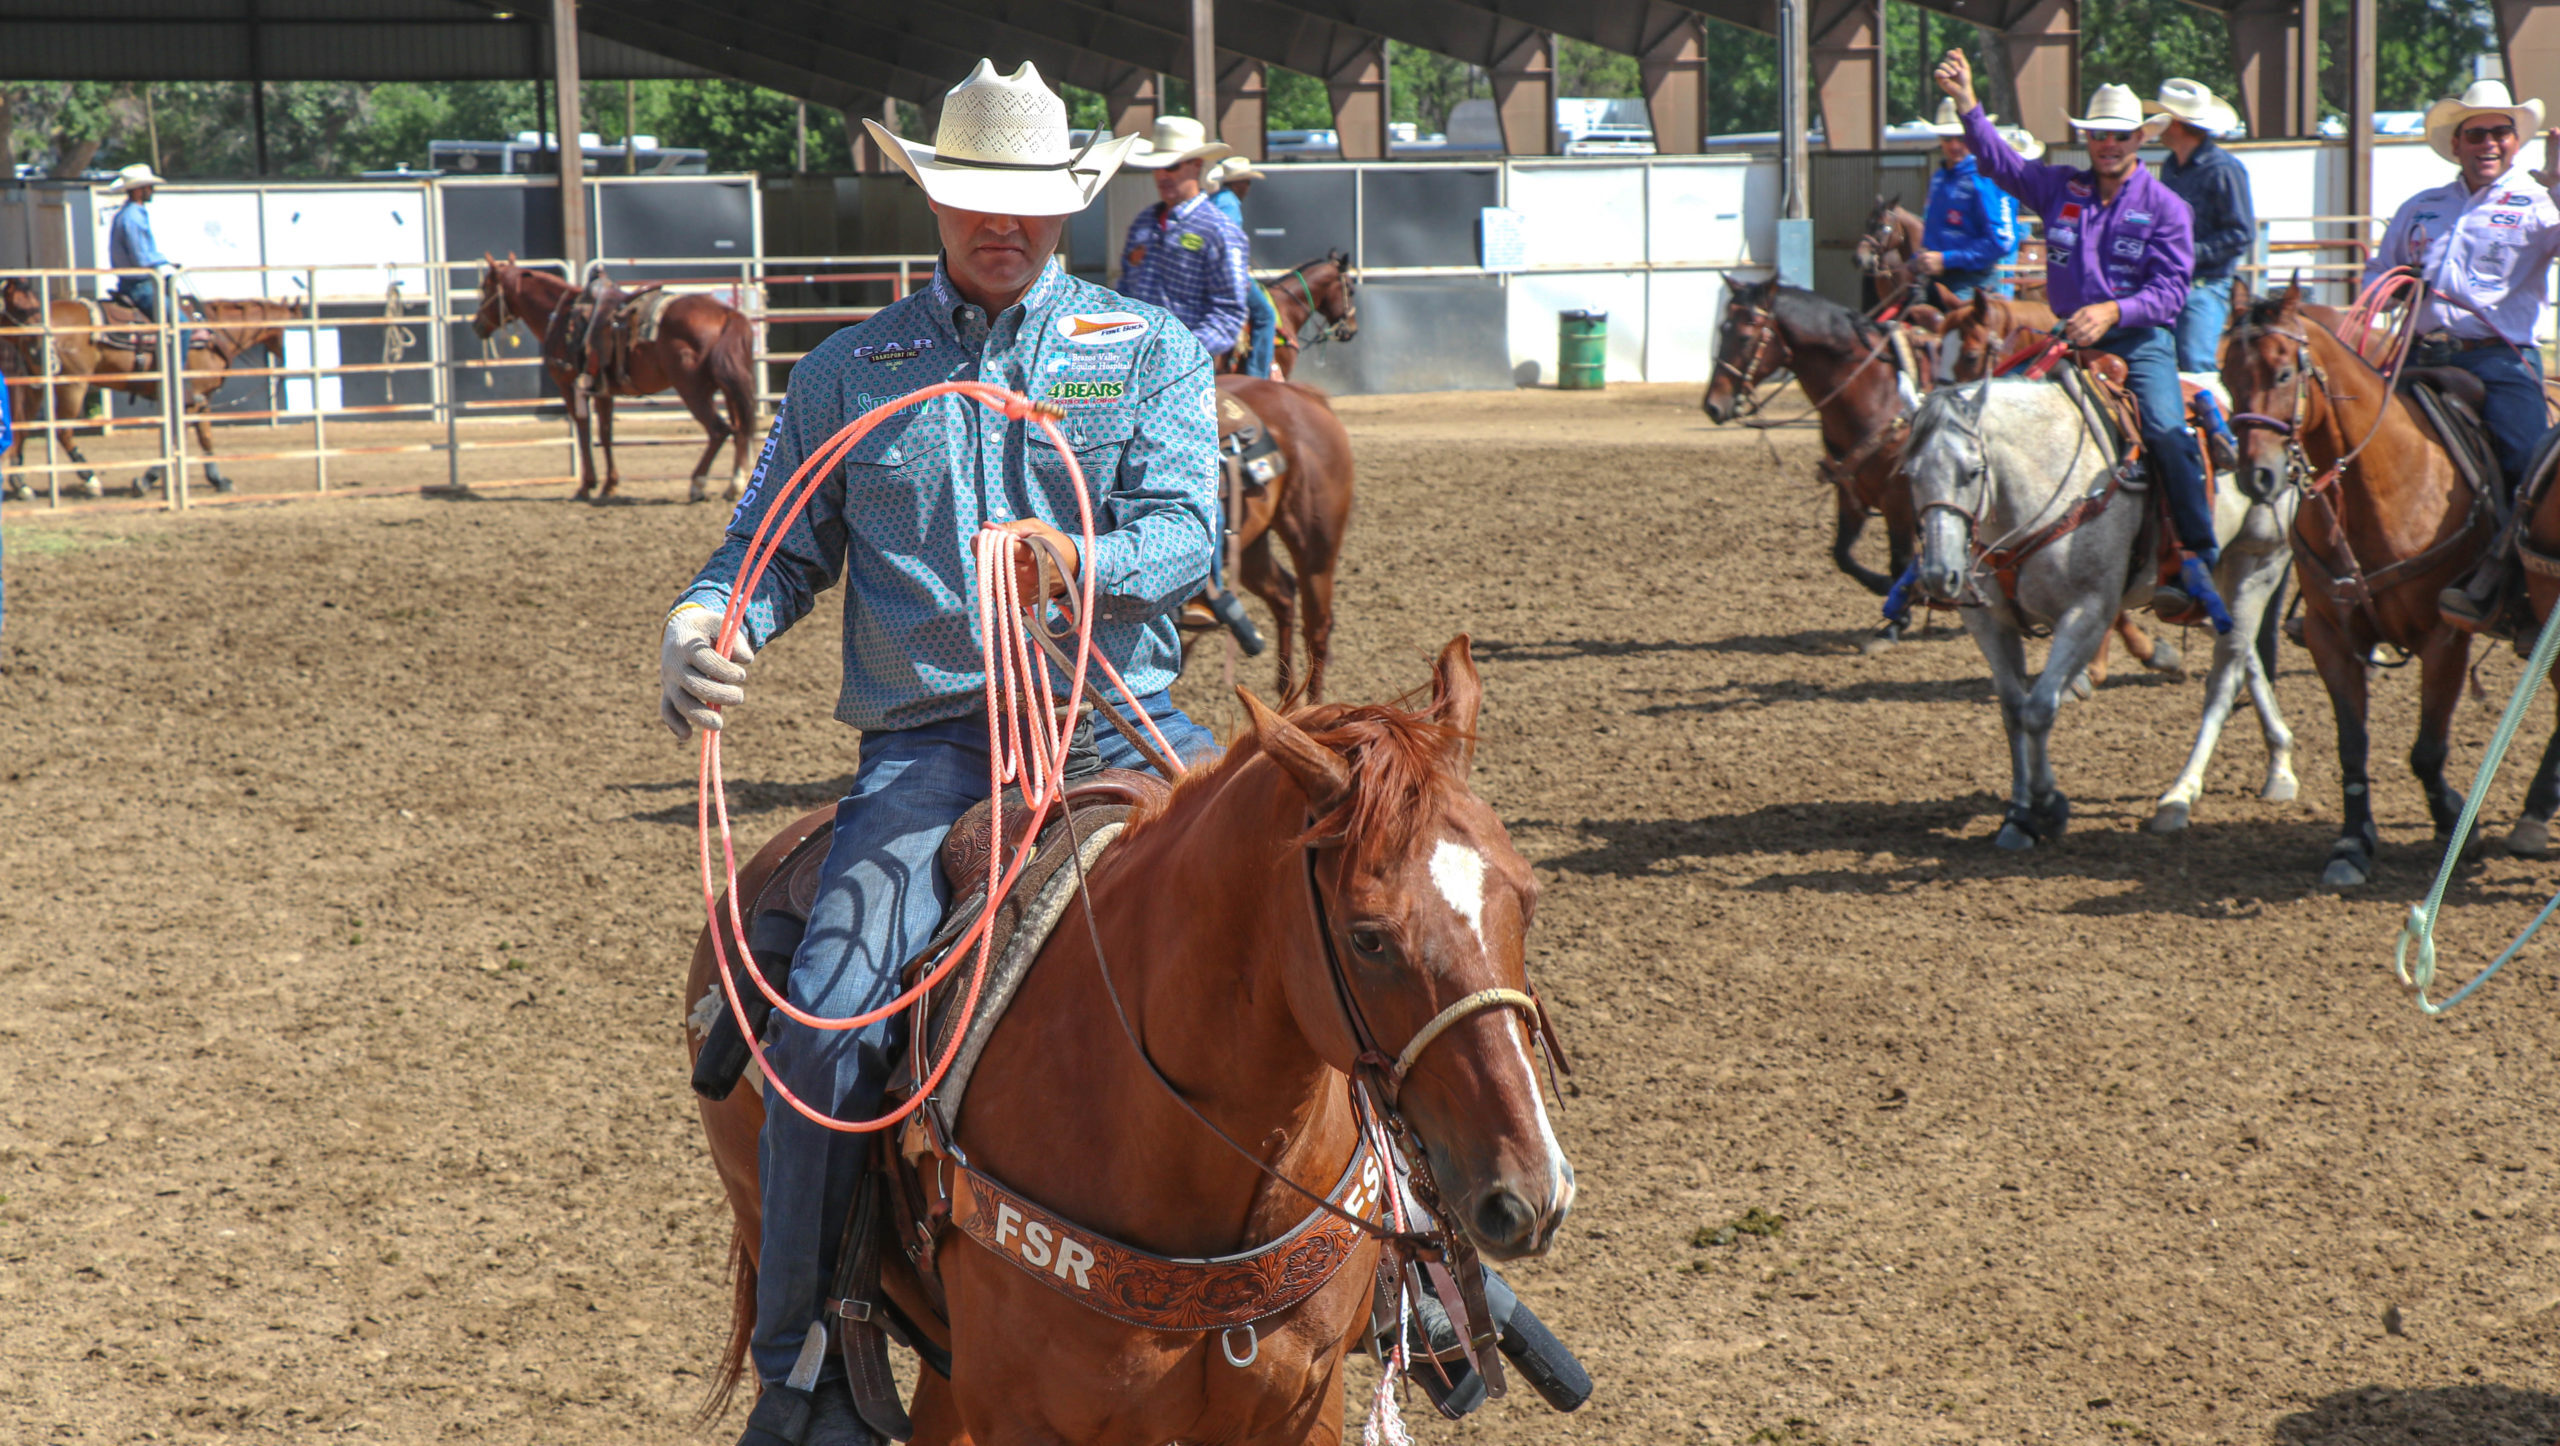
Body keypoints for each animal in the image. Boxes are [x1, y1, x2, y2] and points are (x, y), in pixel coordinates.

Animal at [0, 278, 300, 496]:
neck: (213, 334)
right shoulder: (192, 398)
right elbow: (181, 437)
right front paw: (146, 480)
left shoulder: (201, 398)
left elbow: (204, 438)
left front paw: (218, 479)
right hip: (72, 386)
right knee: (63, 432)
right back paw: (91, 480)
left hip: (36, 385)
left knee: (23, 428)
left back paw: (21, 484)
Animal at [471, 256, 758, 503]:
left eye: (485, 288)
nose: (476, 325)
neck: (561, 315)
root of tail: (728, 315)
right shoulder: (603, 391)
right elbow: (606, 433)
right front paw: (609, 484)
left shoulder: (568, 386)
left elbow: (583, 429)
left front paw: (586, 486)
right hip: (729, 388)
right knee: (740, 429)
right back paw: (735, 485)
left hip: (692, 389)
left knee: (719, 430)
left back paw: (697, 485)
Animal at [2224, 286, 2490, 886]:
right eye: (2226, 374)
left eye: (2282, 373)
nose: (2256, 476)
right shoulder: (2331, 636)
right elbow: (2352, 744)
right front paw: (2352, 844)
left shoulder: (2445, 638)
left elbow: (2428, 749)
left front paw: (2455, 823)